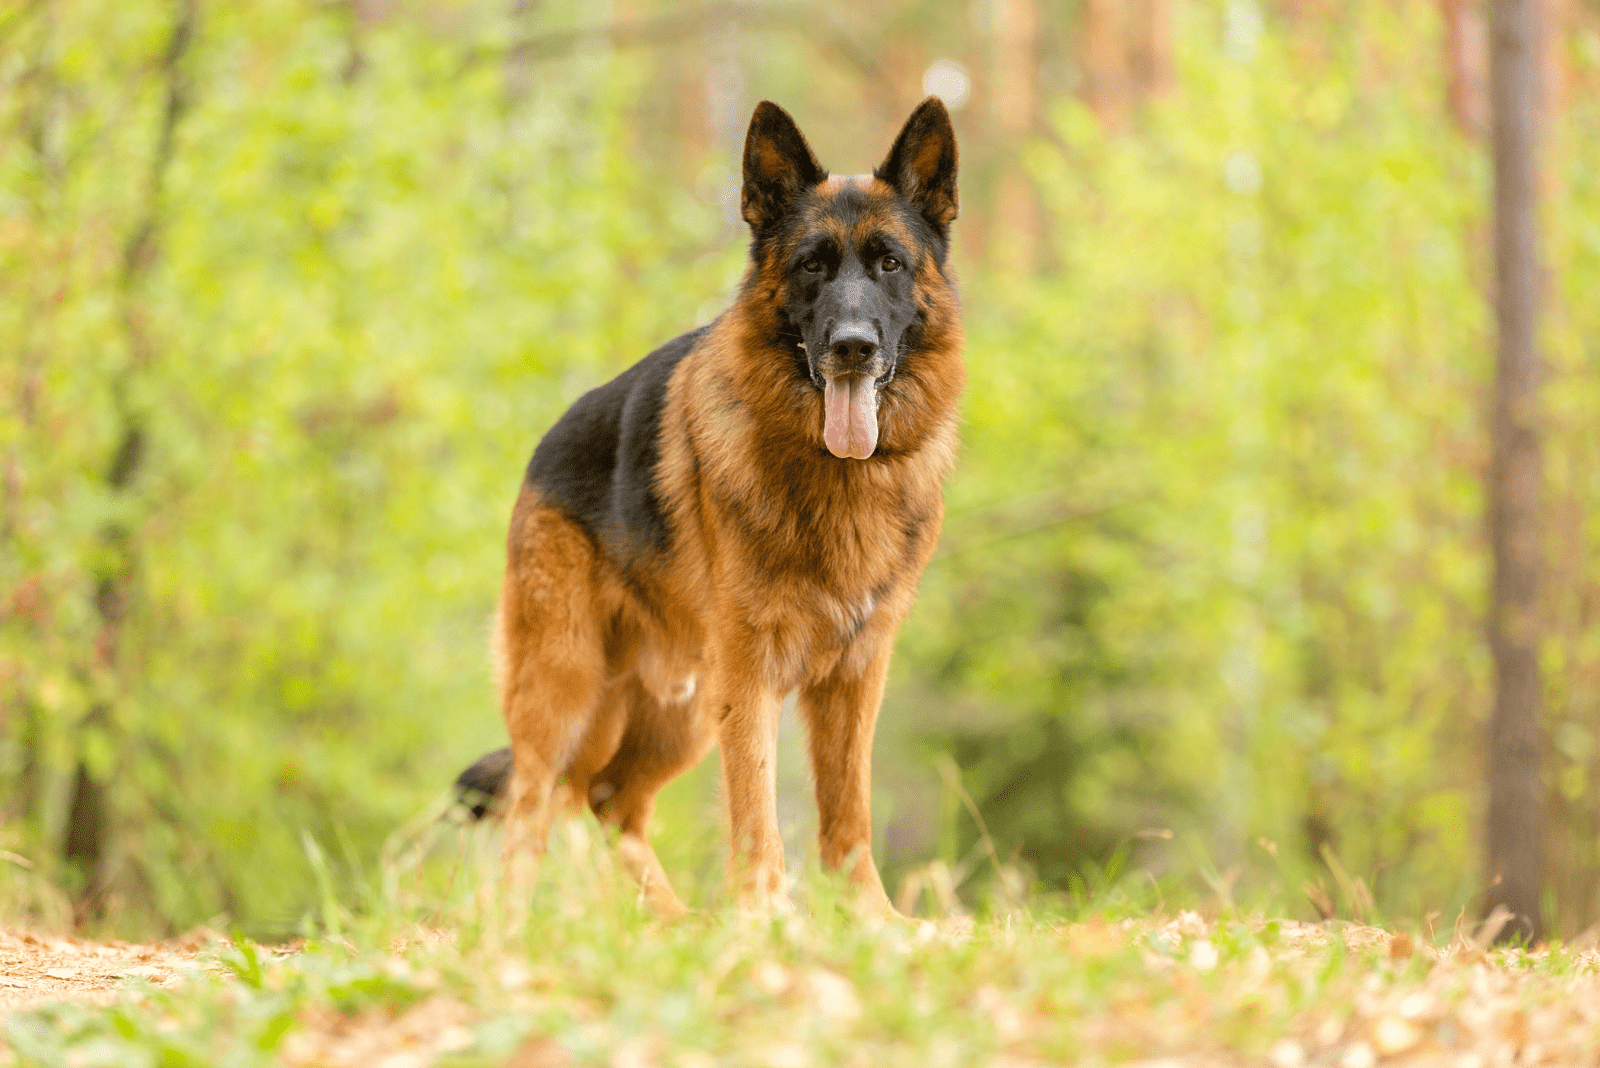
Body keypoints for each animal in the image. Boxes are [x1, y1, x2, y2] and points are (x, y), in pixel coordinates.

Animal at [457, 102, 966, 920]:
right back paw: (517, 925)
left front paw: (870, 918)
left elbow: (847, 809)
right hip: (567, 685)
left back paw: (670, 922)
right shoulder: (750, 674)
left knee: (609, 800)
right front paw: (760, 917)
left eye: (890, 263)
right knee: (535, 810)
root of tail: (546, 443)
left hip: (683, 710)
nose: (852, 348)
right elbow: (756, 805)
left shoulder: (856, 671)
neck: (836, 477)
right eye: (812, 265)